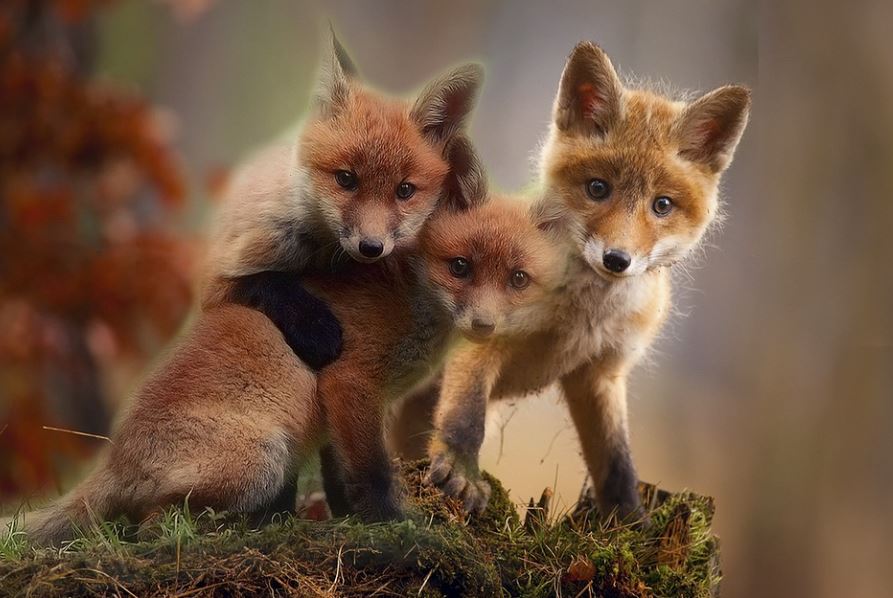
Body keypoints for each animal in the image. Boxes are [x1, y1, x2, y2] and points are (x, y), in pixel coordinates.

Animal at [6, 152, 564, 544]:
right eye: (460, 267)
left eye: (517, 279)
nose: (485, 324)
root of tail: (115, 457)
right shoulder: (350, 382)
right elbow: (371, 473)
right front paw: (393, 526)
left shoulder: (350, 409)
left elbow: (341, 478)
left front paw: (351, 521)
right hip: (264, 461)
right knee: (149, 525)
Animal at [203, 31, 484, 371]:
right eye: (346, 179)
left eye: (404, 190)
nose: (371, 247)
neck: (320, 254)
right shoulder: (217, 277)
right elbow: (267, 282)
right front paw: (315, 327)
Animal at [393, 41, 751, 519]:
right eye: (598, 188)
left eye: (662, 205)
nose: (617, 259)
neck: (580, 317)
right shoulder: (483, 333)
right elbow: (466, 417)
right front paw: (461, 472)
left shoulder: (601, 373)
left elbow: (616, 459)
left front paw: (629, 519)